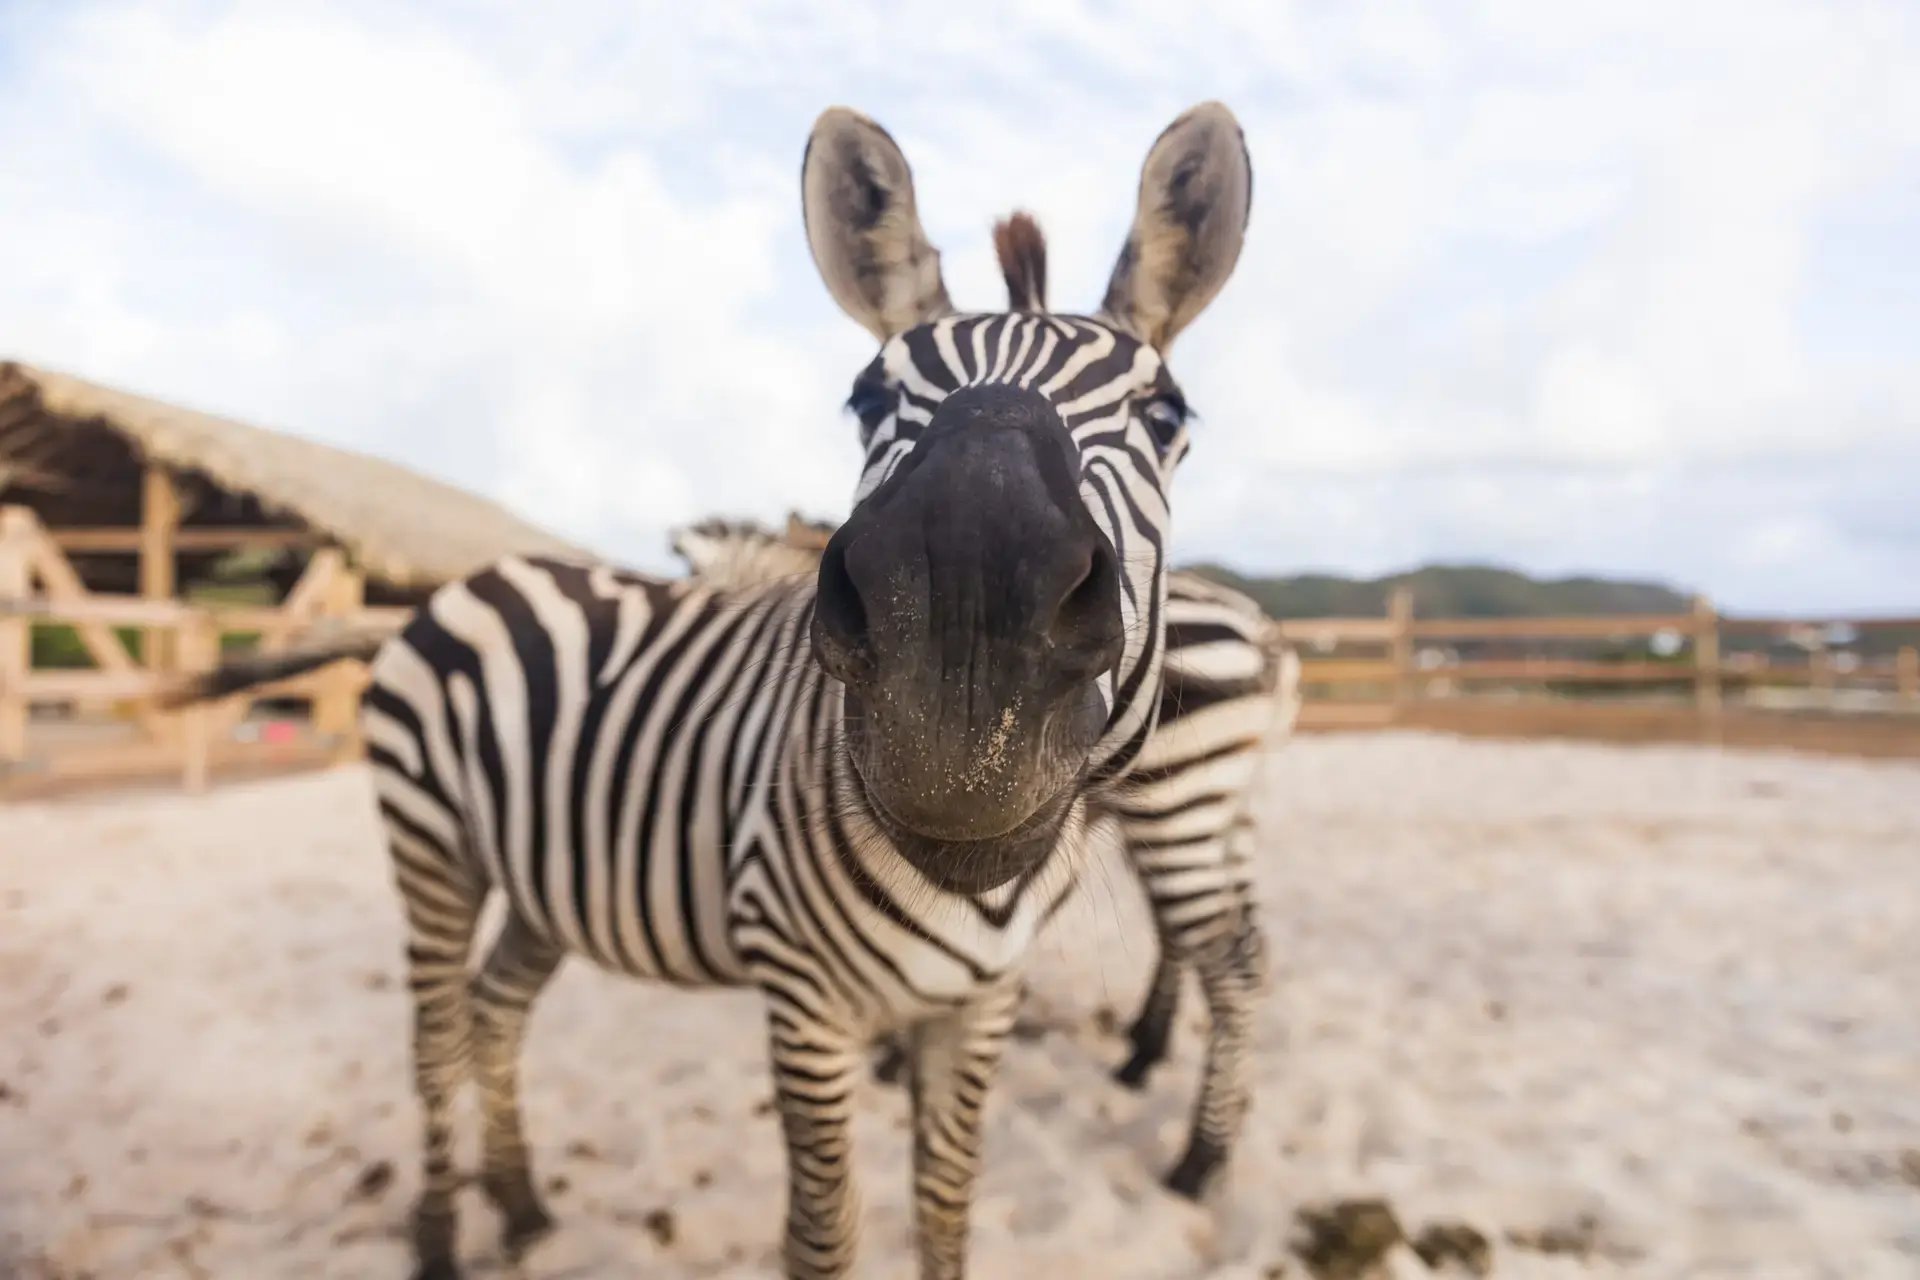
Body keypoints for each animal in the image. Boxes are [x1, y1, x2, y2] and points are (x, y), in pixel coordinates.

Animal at [669, 512, 1301, 1194]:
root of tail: (1264, 631)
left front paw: (896, 1054)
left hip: (1177, 798)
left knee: (1225, 955)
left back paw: (1198, 1156)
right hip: (1219, 808)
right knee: (1214, 936)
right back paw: (1150, 1056)